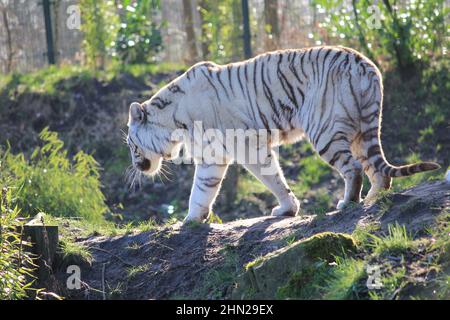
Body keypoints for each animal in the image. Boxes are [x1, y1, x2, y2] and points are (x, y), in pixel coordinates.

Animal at [126, 46, 440, 222]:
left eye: (131, 145)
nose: (136, 165)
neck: (173, 121)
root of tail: (365, 64)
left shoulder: (246, 146)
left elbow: (271, 178)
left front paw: (287, 209)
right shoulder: (211, 156)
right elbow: (203, 189)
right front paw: (192, 219)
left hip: (325, 131)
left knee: (353, 168)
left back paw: (347, 203)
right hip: (361, 132)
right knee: (378, 172)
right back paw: (374, 199)